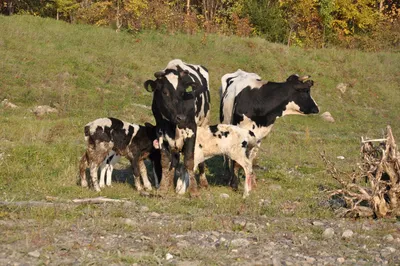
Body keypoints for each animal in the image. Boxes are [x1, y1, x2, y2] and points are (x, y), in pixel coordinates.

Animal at [145, 58, 212, 195]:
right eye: (165, 92)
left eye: (182, 93)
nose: (181, 117)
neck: (172, 125)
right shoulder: (161, 131)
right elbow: (165, 161)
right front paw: (164, 187)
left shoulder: (192, 130)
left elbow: (189, 161)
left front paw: (193, 191)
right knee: (175, 160)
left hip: (204, 124)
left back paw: (202, 182)